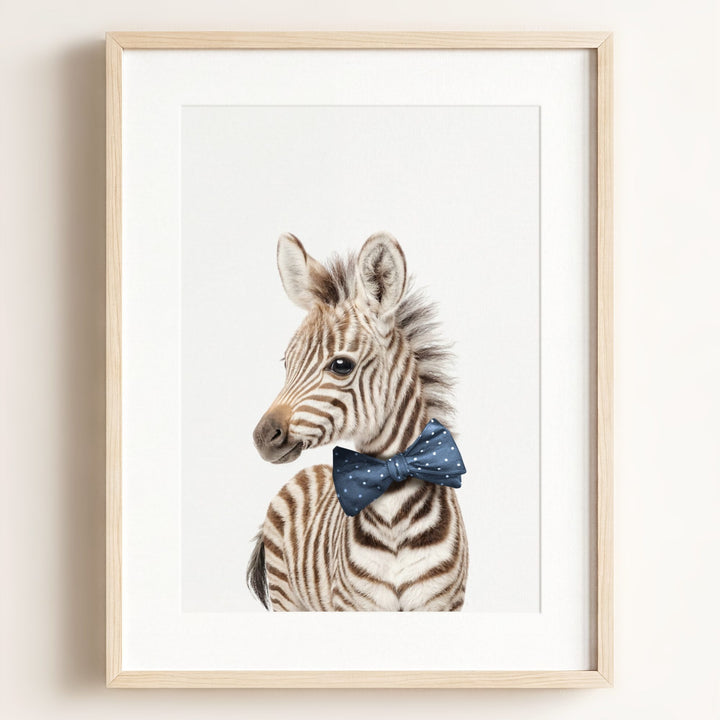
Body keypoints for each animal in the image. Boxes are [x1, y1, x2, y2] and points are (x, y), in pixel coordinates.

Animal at [247, 231, 469, 611]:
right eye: (286, 362)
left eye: (341, 365)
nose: (263, 436)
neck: (394, 514)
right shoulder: (354, 605)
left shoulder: (443, 604)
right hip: (286, 596)